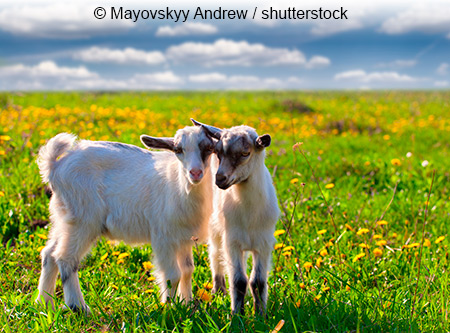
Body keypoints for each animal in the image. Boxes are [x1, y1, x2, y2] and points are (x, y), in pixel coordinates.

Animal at [36, 126, 215, 312]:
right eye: (178, 149)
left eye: (209, 148)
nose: (195, 173)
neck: (178, 186)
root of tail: (55, 167)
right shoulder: (163, 237)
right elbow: (173, 275)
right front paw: (169, 308)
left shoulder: (183, 238)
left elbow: (187, 270)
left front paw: (187, 305)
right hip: (83, 219)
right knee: (65, 258)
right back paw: (79, 307)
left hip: (64, 218)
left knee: (49, 254)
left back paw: (44, 304)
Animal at [192, 118, 280, 314]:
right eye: (217, 152)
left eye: (245, 153)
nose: (220, 179)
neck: (249, 214)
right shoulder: (232, 241)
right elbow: (239, 281)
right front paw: (236, 315)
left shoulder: (264, 243)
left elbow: (258, 282)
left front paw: (261, 315)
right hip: (216, 229)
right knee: (216, 256)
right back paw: (219, 291)